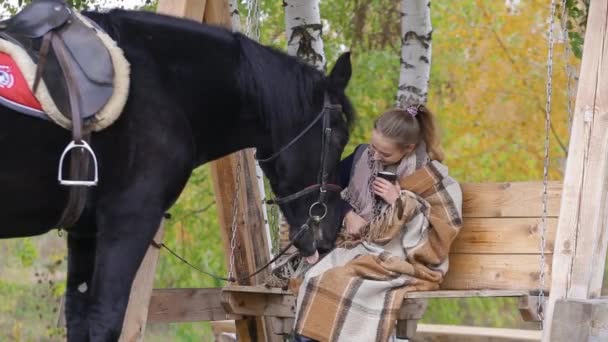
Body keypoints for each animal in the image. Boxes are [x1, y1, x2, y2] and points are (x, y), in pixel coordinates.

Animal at [0, 9, 354, 340]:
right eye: (339, 135)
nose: (330, 230)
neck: (160, 84)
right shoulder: (129, 219)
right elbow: (105, 320)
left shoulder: (85, 231)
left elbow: (78, 320)